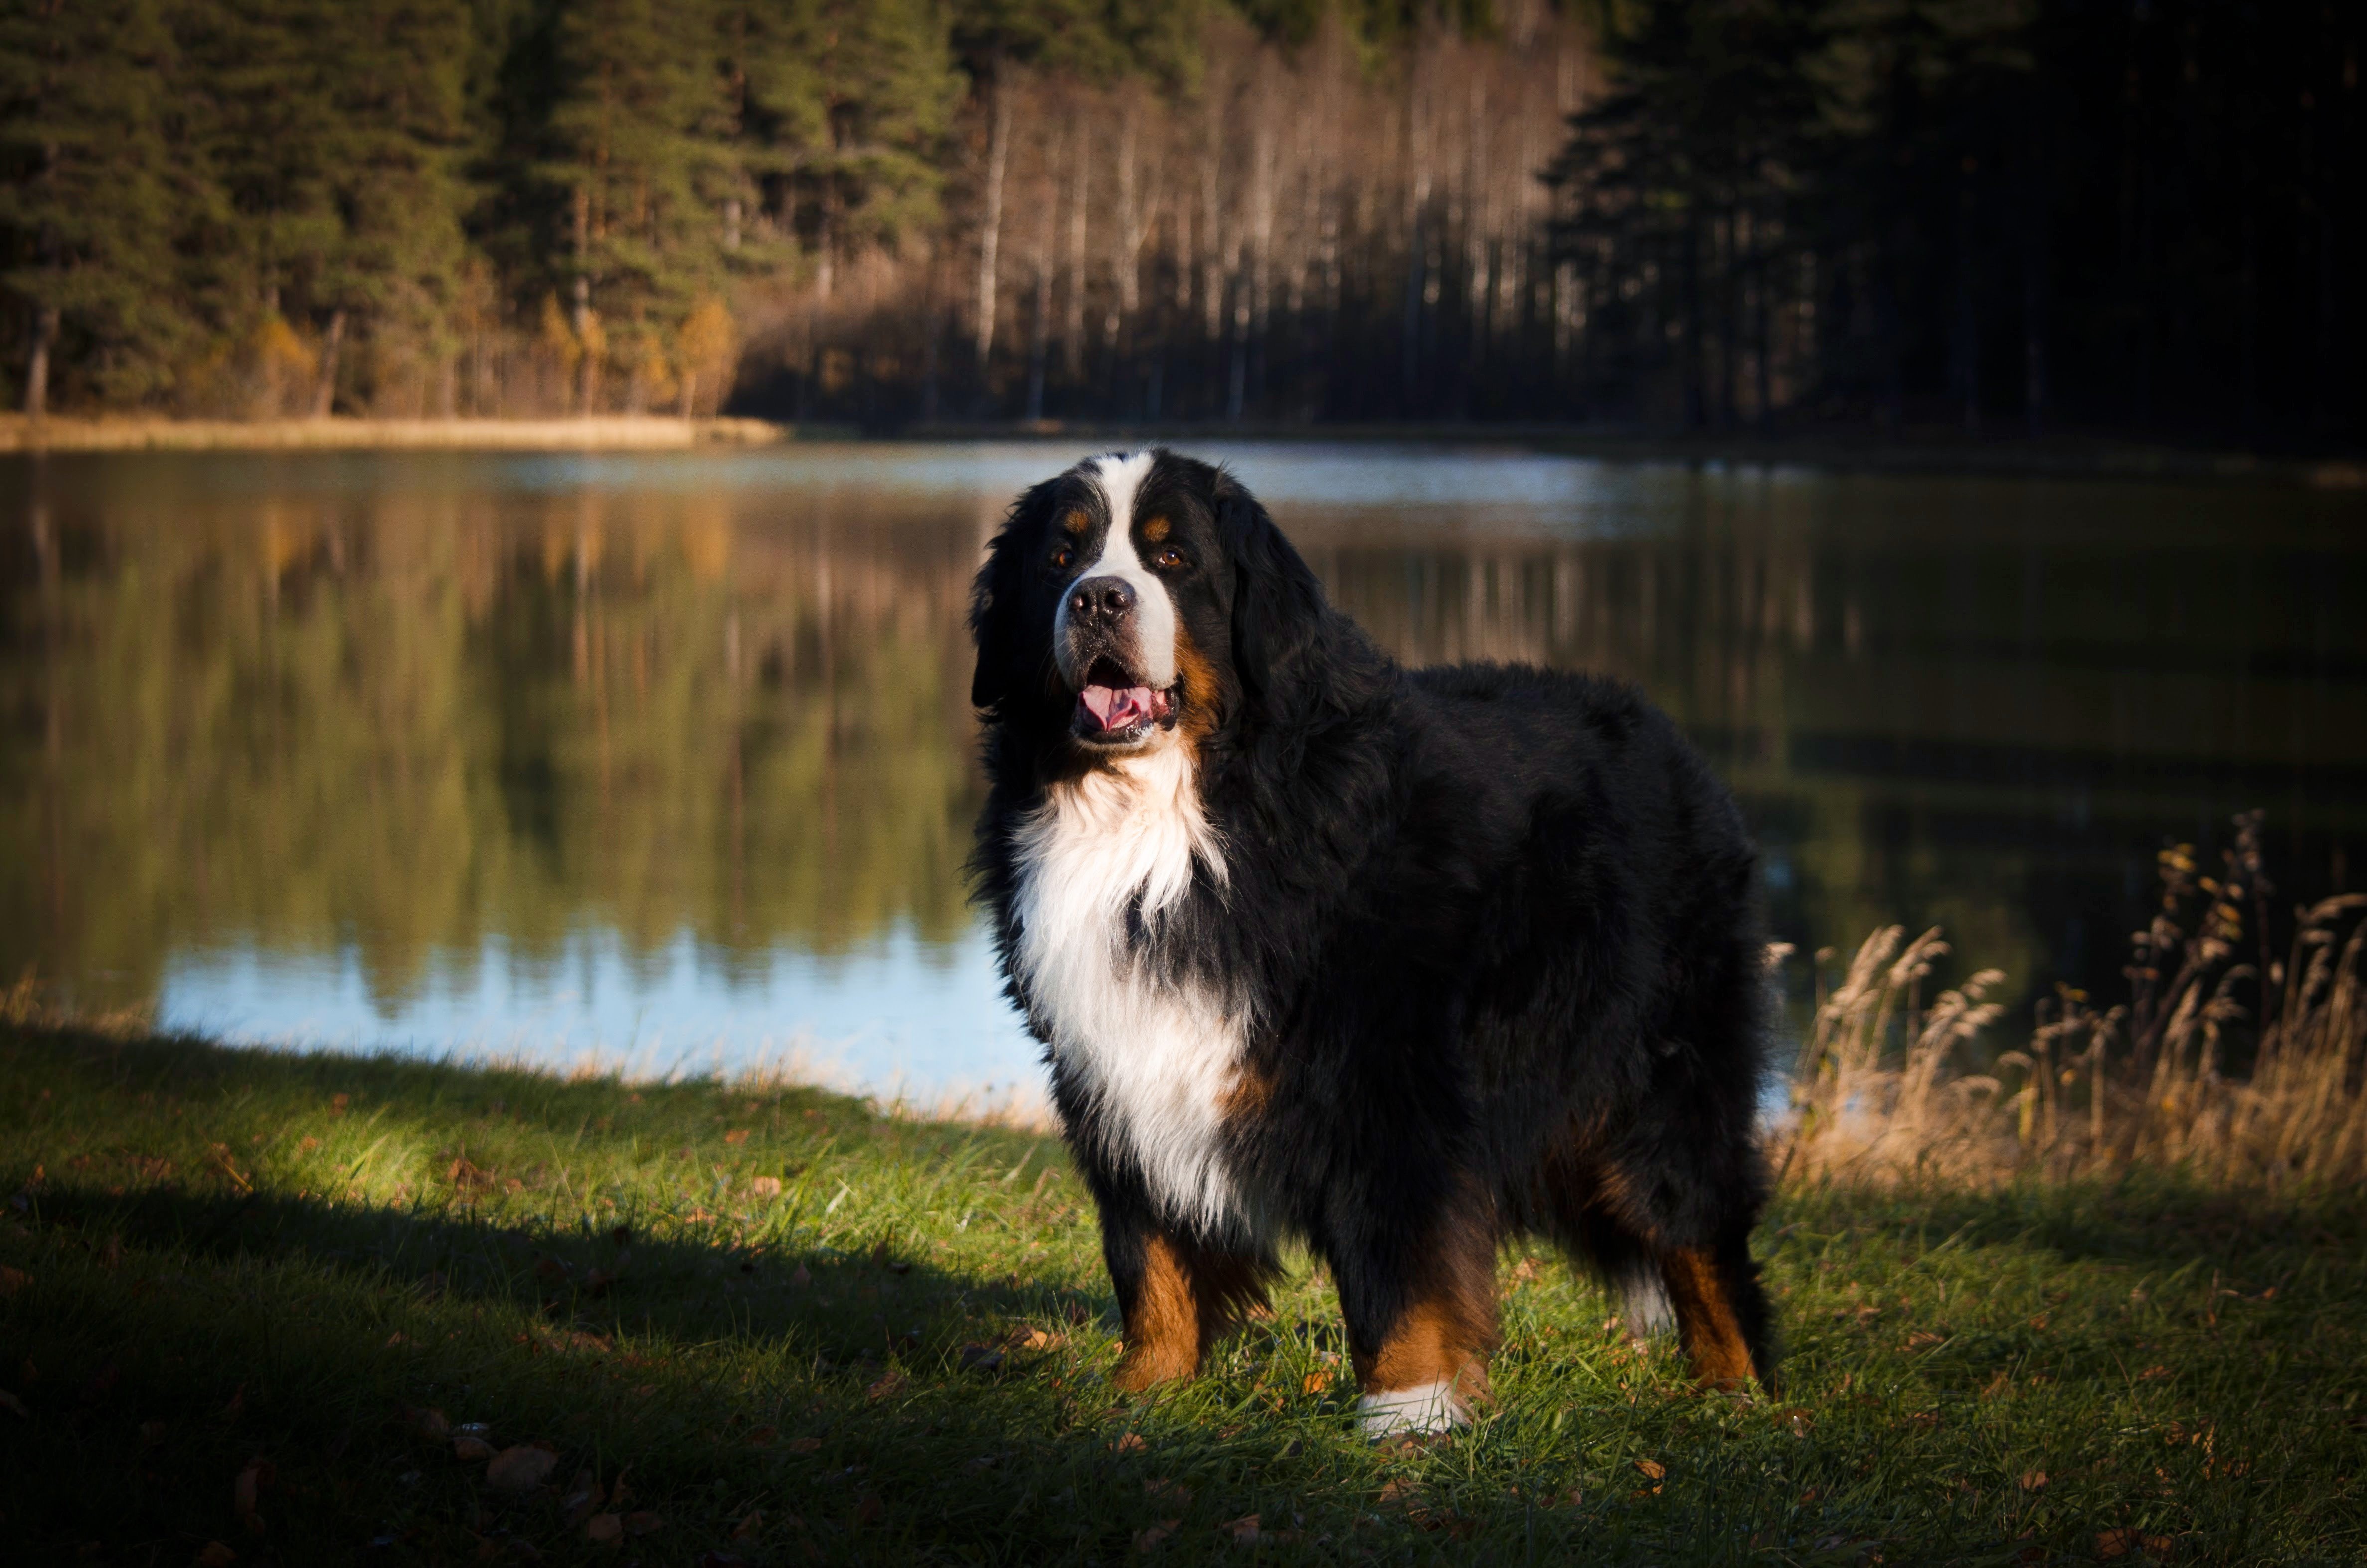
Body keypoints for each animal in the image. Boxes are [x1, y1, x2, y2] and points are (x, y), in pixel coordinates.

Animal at [966, 445, 1780, 1440]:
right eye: (1060, 559)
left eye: (1173, 559)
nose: (1096, 600)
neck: (1167, 820)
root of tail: (1673, 740)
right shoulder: (1113, 1067)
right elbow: (1149, 1251)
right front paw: (1143, 1389)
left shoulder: (1387, 1078)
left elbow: (1398, 1264)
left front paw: (1409, 1415)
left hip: (1659, 1081)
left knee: (1696, 1232)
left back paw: (1736, 1397)